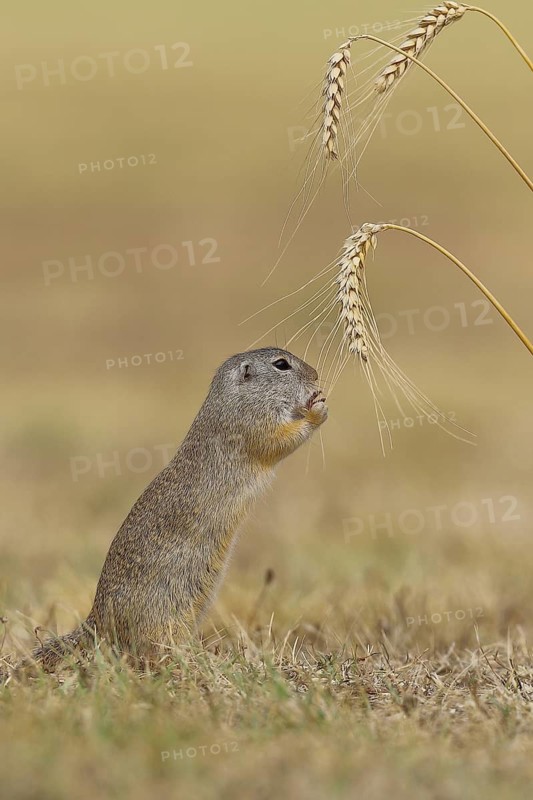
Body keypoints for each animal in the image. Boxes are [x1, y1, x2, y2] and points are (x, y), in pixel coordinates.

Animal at [1, 348, 327, 680]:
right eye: (281, 365)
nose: (315, 374)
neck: (232, 399)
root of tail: (97, 622)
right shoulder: (255, 424)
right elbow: (279, 440)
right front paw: (317, 409)